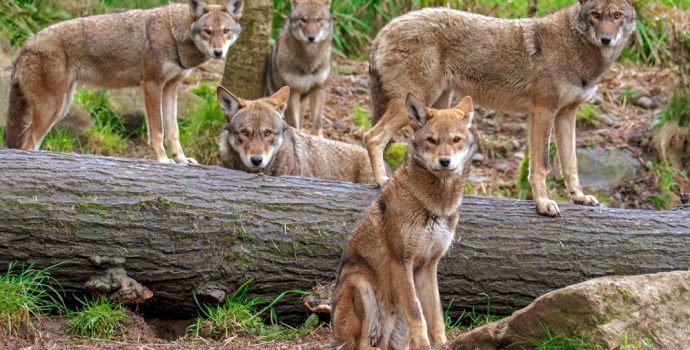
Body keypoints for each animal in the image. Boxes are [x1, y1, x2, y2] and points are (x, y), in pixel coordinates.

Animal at [4, 0, 242, 164]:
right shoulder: (151, 85)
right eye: (207, 32)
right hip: (52, 108)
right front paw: (163, 160)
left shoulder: (171, 89)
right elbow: (158, 131)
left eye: (225, 31)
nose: (218, 52)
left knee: (25, 140)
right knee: (28, 143)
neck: (174, 34)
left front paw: (181, 160)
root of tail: (26, 44)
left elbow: (173, 131)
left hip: (61, 108)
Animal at [264, 0, 332, 137]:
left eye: (318, 19)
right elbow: (295, 125)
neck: (309, 62)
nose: (311, 37)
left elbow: (317, 122)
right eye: (303, 19)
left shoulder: (319, 88)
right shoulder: (294, 92)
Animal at [330, 94, 476, 348]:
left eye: (456, 140)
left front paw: (441, 344)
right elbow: (417, 313)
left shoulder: (429, 265)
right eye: (432, 140)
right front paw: (425, 345)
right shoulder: (401, 261)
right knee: (361, 344)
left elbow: (435, 316)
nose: (445, 161)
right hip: (360, 283)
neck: (436, 206)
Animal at [366, 0, 636, 217]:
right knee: (372, 136)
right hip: (415, 103)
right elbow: (541, 166)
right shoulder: (543, 111)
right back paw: (382, 180)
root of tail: (383, 31)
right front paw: (543, 203)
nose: (606, 39)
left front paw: (579, 197)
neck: (574, 47)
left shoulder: (567, 115)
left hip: (438, 107)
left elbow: (571, 164)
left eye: (616, 15)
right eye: (596, 15)